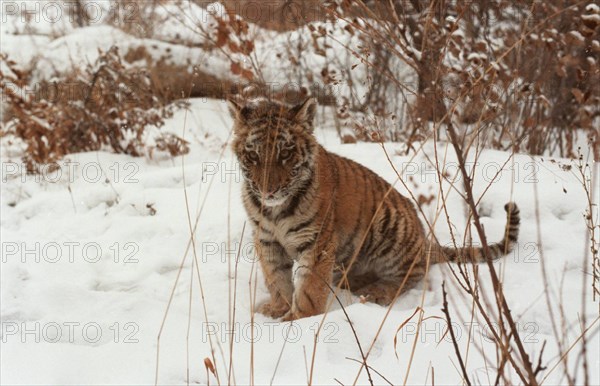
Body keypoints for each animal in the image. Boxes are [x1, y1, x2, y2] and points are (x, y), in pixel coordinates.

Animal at [227, 98, 516, 322]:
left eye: (285, 153)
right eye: (253, 155)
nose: (269, 191)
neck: (274, 212)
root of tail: (425, 240)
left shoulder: (317, 242)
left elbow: (310, 287)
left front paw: (299, 320)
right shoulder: (266, 239)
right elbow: (276, 278)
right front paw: (277, 308)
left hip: (389, 225)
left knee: (411, 273)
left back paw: (376, 292)